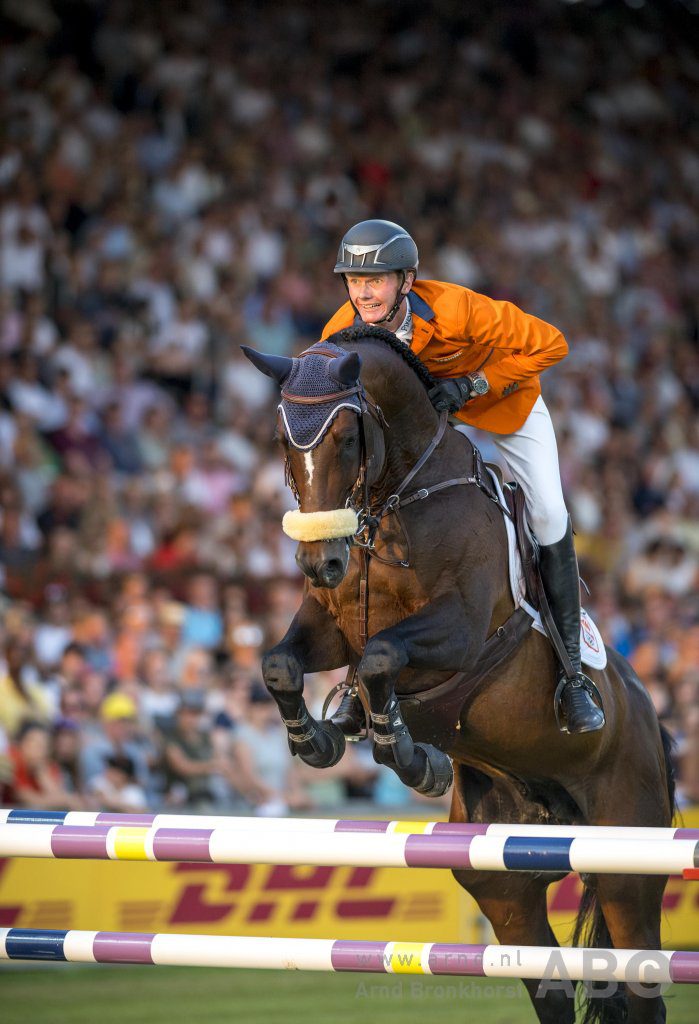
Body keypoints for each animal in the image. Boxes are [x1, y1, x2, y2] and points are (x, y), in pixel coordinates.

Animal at [243, 326, 675, 1024]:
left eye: (346, 439)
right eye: (284, 441)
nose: (320, 563)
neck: (399, 498)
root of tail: (653, 722)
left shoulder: (461, 629)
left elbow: (381, 656)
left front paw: (411, 755)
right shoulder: (330, 623)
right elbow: (281, 662)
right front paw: (321, 738)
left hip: (626, 861)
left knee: (641, 980)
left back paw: (576, 705)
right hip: (502, 881)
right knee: (548, 982)